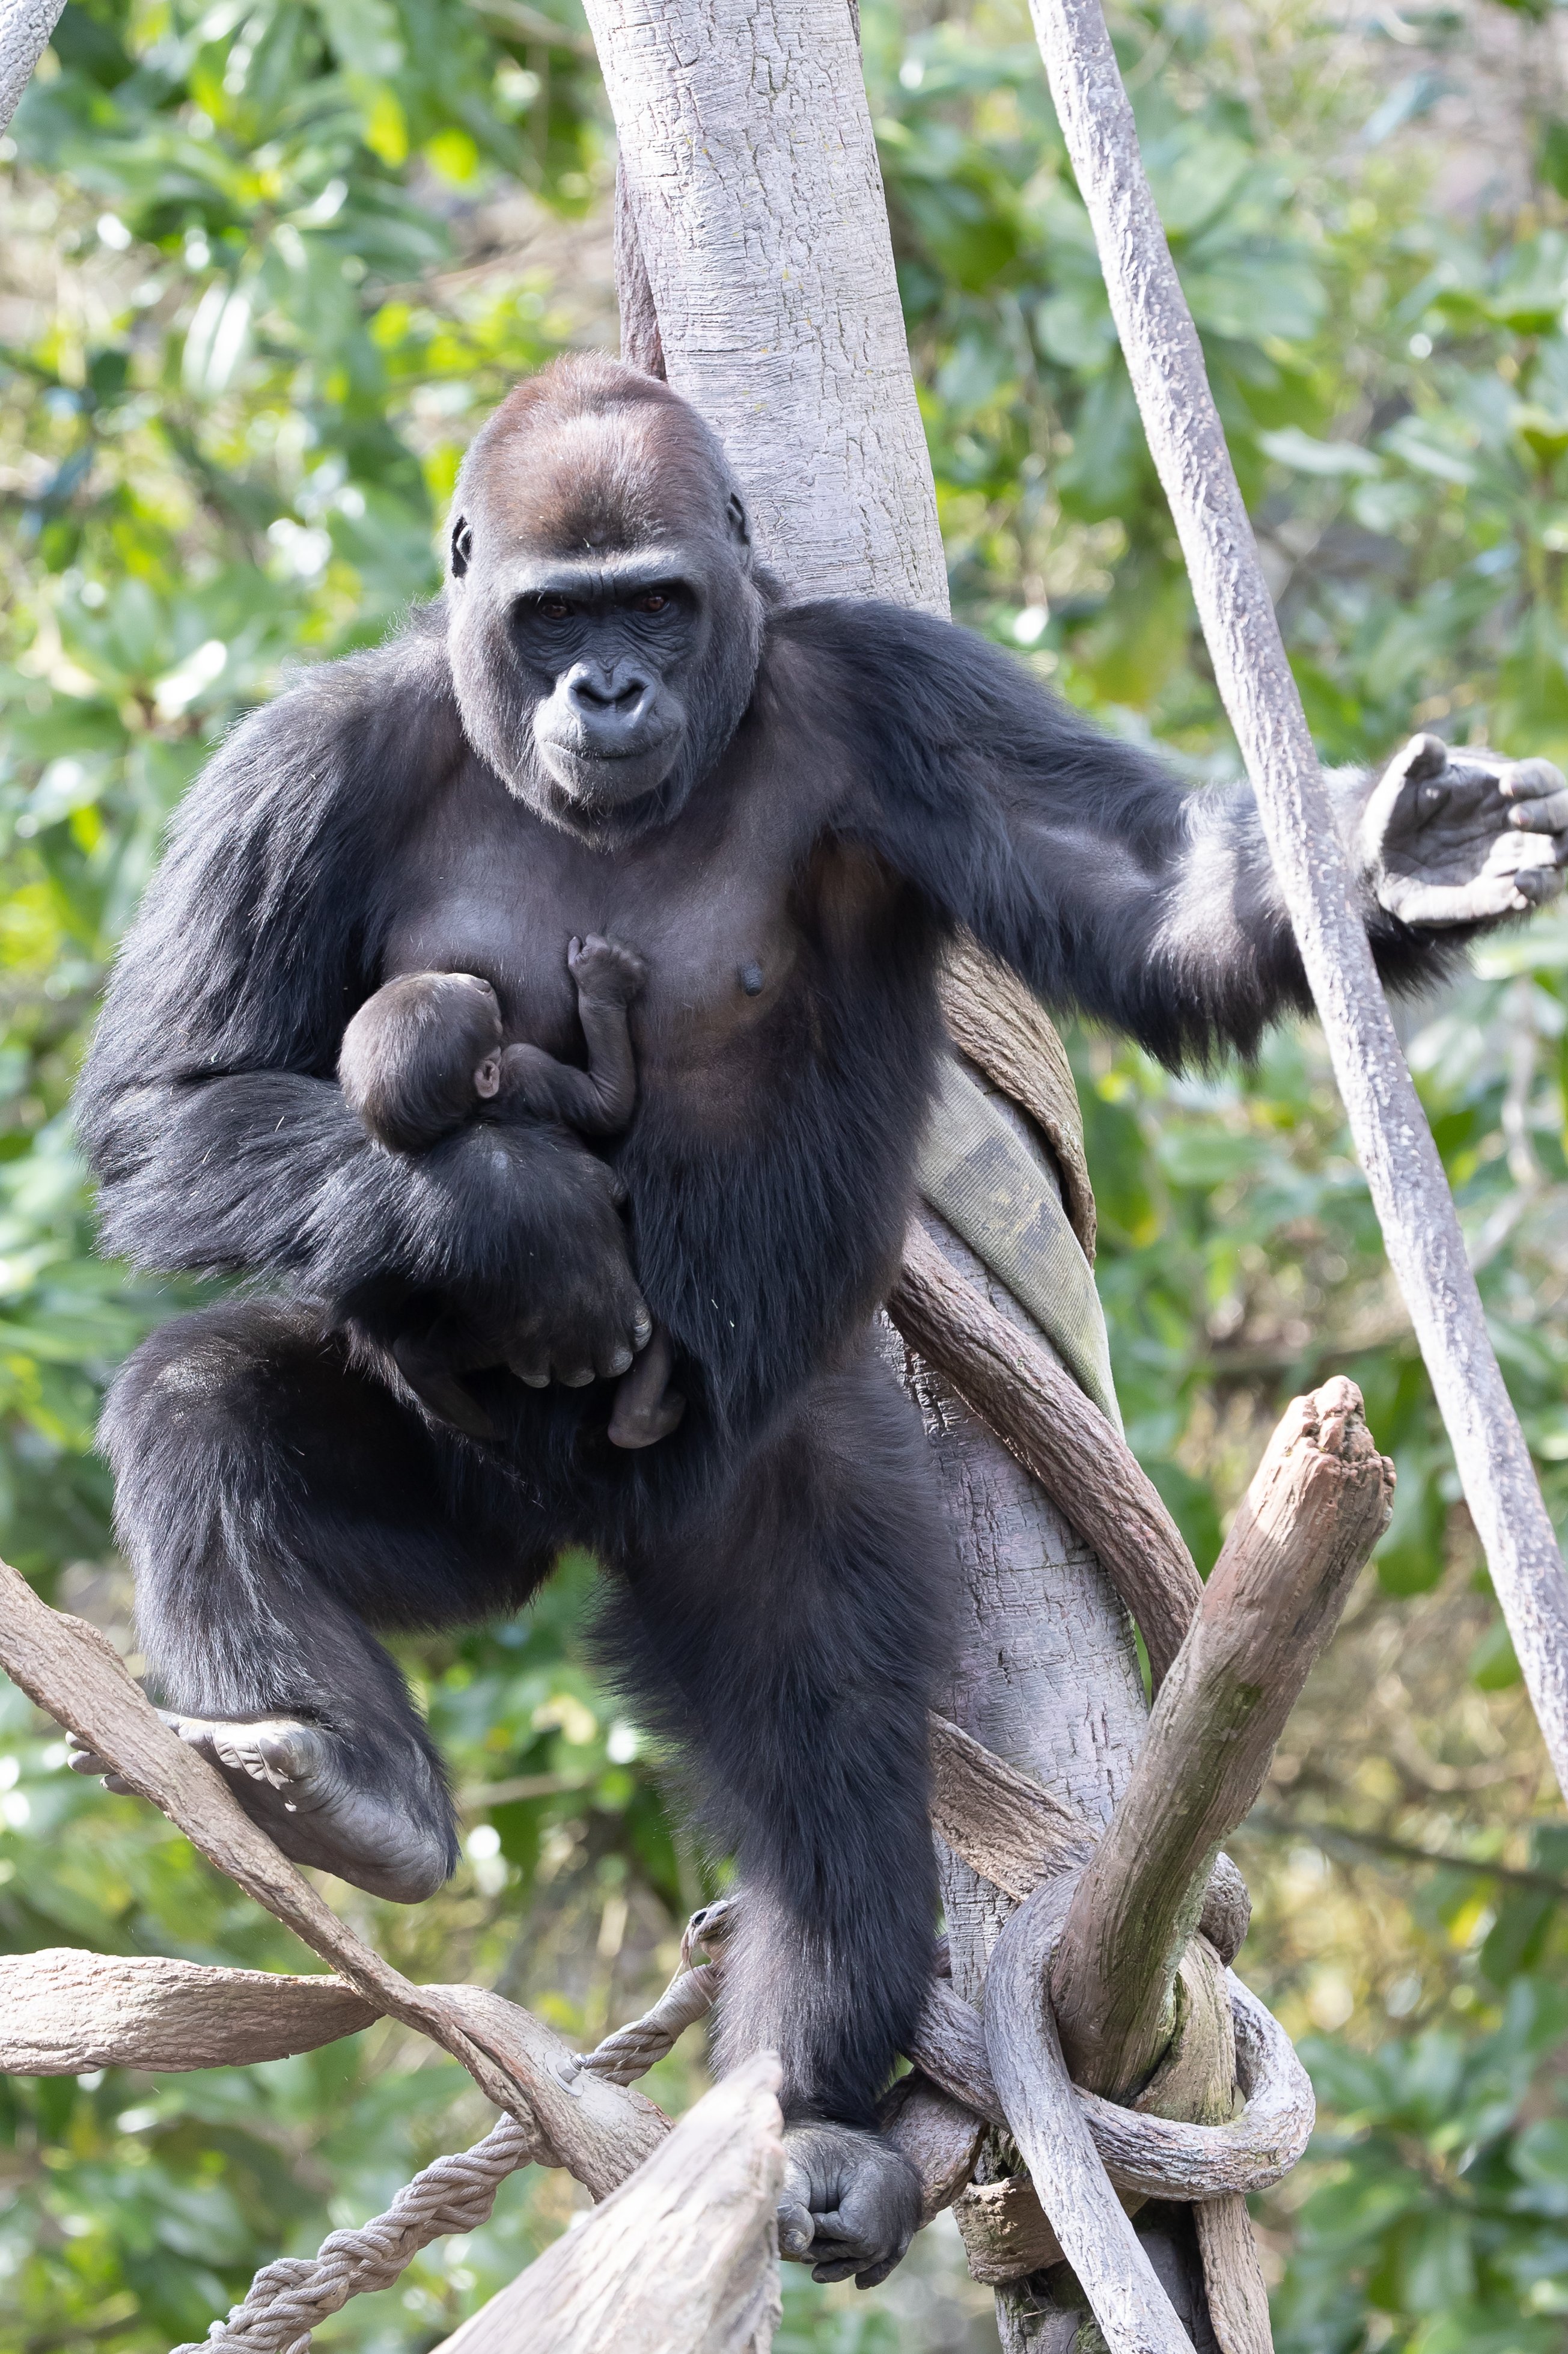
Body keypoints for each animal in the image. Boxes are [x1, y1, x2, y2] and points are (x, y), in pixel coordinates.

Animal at [339, 941, 683, 1450]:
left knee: (427, 1353)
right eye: (470, 999)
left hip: (483, 1334)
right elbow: (609, 1104)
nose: (477, 982)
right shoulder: (526, 1064)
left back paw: (443, 1394)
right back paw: (638, 1416)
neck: (472, 1112)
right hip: (513, 1338)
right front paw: (602, 983)